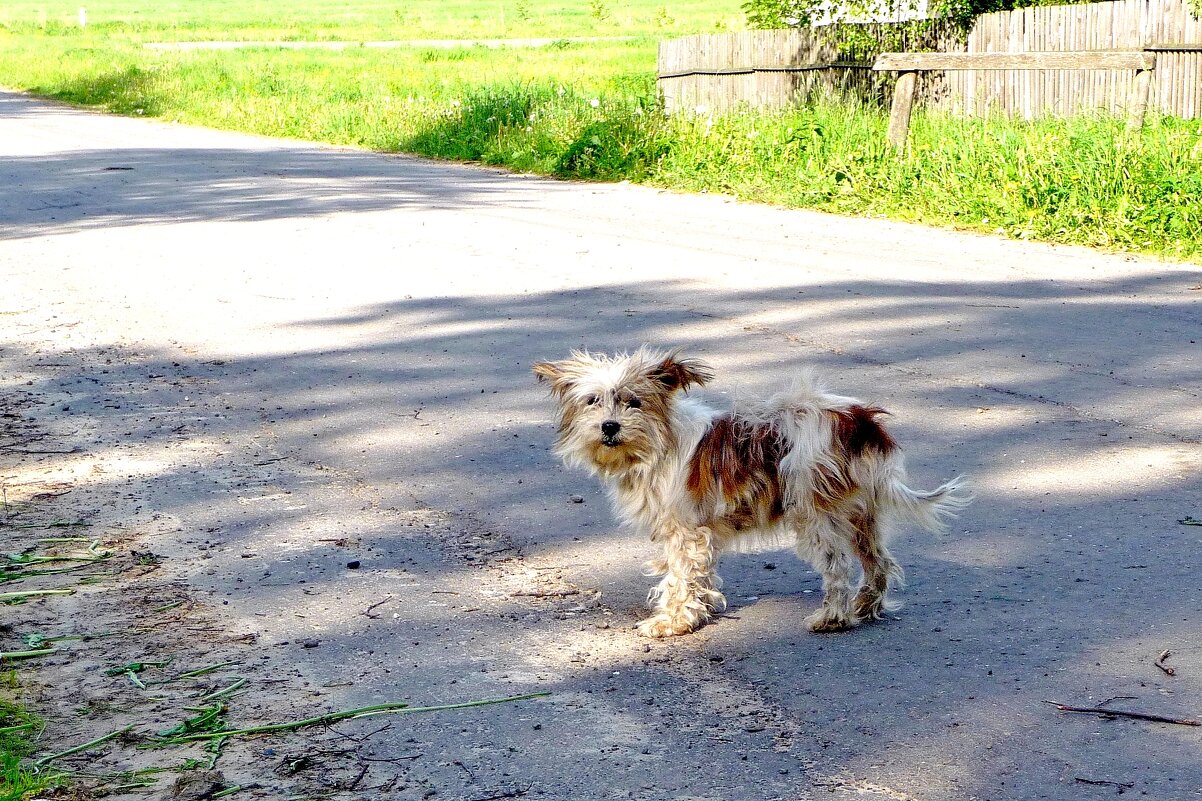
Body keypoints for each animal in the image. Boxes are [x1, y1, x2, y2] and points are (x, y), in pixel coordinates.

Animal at [531, 348, 971, 635]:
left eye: (633, 402)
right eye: (592, 401)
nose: (609, 426)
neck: (658, 443)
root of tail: (860, 421)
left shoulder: (685, 532)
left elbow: (680, 578)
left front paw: (674, 621)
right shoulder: (698, 534)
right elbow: (699, 575)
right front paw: (701, 609)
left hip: (816, 514)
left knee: (838, 569)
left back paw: (832, 619)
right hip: (861, 514)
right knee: (879, 563)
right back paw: (865, 608)